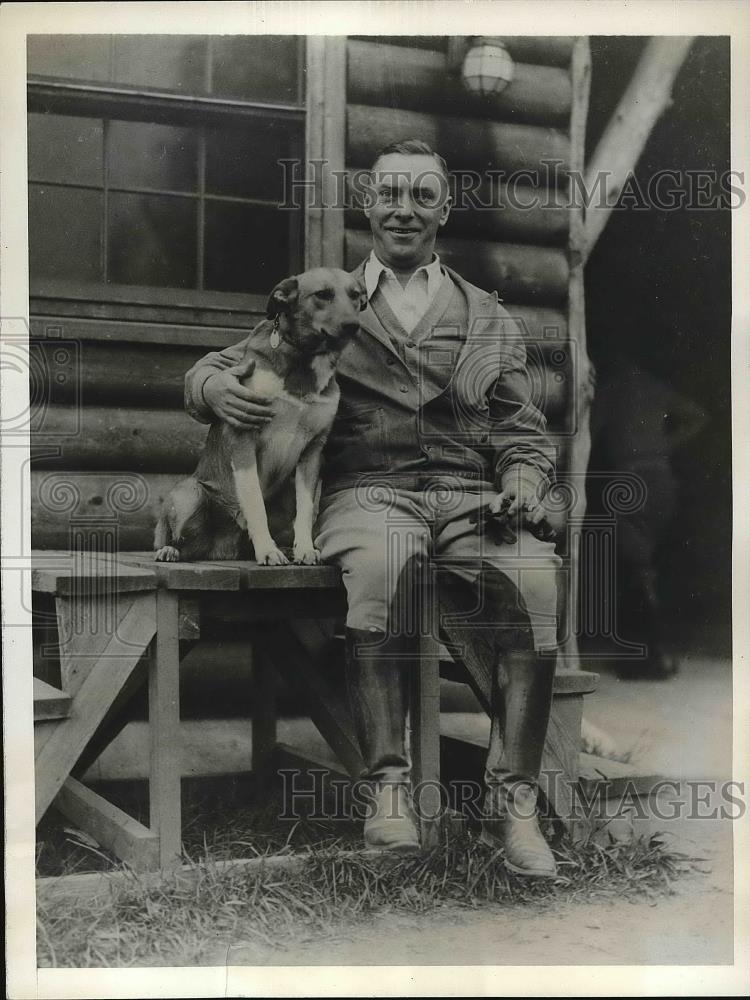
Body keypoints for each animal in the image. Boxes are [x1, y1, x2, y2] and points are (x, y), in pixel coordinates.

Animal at [154, 270, 366, 568]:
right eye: (322, 294)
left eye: (355, 295)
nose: (352, 325)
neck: (305, 360)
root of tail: (222, 548)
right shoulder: (244, 438)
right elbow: (254, 502)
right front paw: (267, 550)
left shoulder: (312, 451)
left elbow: (306, 509)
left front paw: (304, 549)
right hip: (188, 494)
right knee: (179, 538)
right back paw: (169, 550)